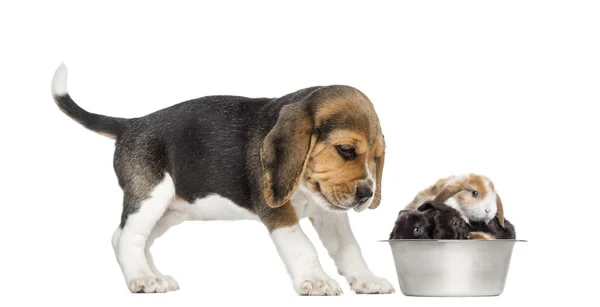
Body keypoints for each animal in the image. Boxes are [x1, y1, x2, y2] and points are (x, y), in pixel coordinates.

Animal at [51, 64, 394, 296]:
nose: (366, 194)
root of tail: (130, 124)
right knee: (129, 238)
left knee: (122, 236)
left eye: (377, 157)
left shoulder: (329, 215)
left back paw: (153, 273)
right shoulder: (278, 211)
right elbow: (302, 245)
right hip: (150, 198)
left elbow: (349, 248)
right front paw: (316, 280)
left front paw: (367, 279)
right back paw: (142, 278)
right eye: (346, 150)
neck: (306, 190)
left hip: (170, 210)